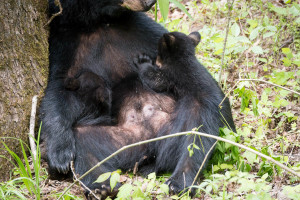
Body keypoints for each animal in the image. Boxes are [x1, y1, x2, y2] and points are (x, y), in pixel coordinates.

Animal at [39, 0, 236, 197]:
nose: (150, 2)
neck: (94, 22)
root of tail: (150, 147)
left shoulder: (141, 29)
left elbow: (204, 87)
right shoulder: (64, 43)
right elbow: (58, 90)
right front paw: (59, 155)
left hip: (174, 127)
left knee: (196, 131)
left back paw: (180, 180)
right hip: (119, 141)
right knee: (83, 141)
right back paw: (102, 186)